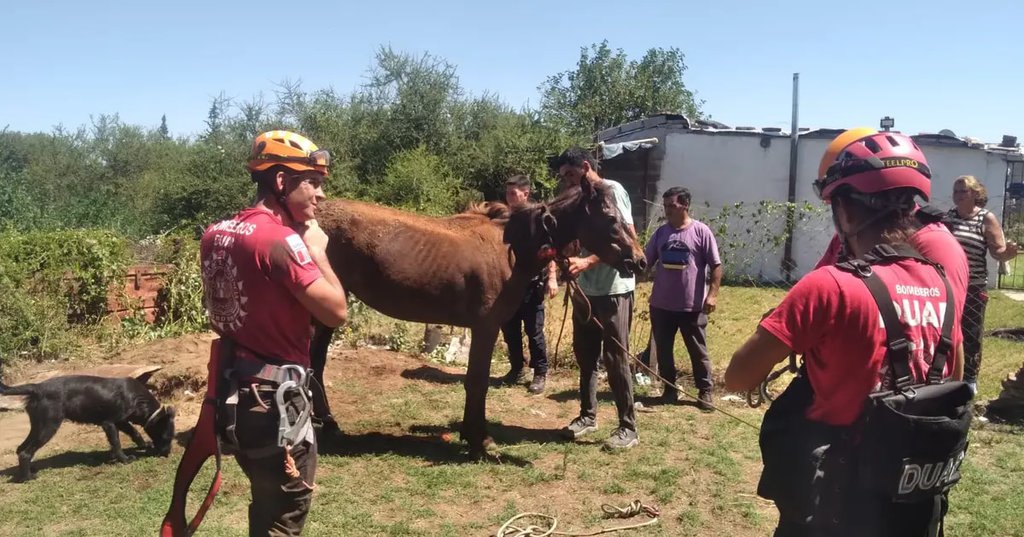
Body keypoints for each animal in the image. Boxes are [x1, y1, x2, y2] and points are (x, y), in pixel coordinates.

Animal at [311, 176, 646, 456]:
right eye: (611, 218)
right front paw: (479, 440)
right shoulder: (486, 328)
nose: (640, 261)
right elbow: (478, 381)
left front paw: (470, 434)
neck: (511, 249)